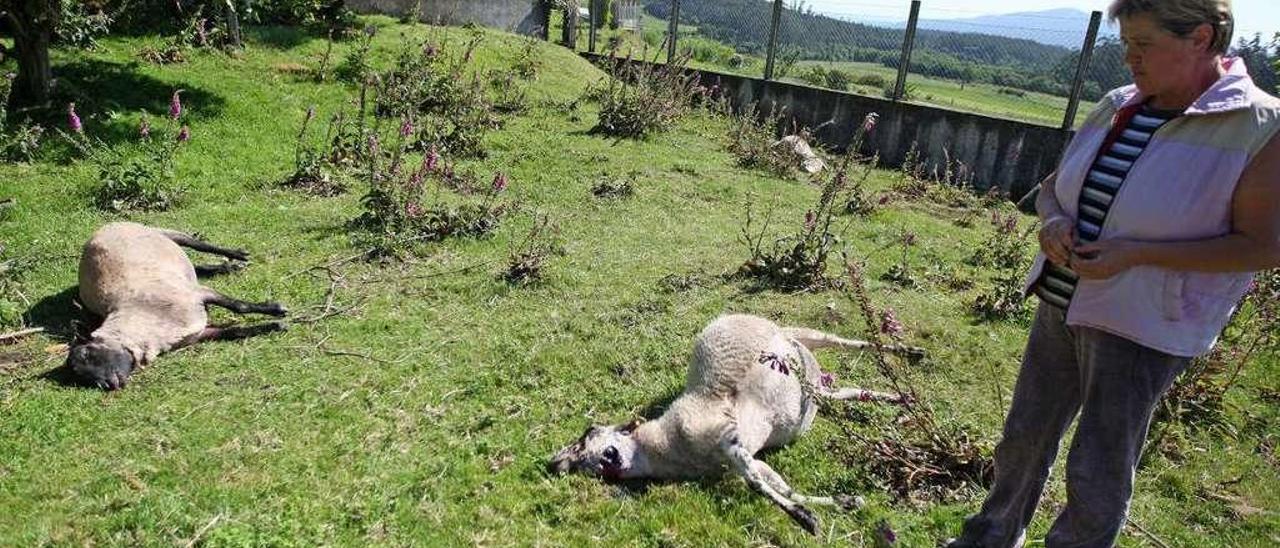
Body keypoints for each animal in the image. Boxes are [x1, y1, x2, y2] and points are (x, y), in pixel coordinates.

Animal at [67, 222, 288, 389]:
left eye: (87, 354)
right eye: (79, 375)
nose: (106, 385)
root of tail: (102, 229)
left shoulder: (198, 294)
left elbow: (239, 306)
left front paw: (277, 310)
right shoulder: (200, 333)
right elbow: (235, 332)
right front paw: (274, 326)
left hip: (163, 232)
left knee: (198, 243)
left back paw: (238, 255)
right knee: (197, 266)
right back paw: (228, 267)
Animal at [550, 314, 921, 532]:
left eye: (587, 436)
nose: (556, 464)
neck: (668, 447)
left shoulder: (729, 439)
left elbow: (757, 484)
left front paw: (805, 519)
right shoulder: (749, 456)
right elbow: (780, 484)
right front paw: (841, 503)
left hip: (799, 335)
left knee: (847, 341)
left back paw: (912, 353)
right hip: (819, 390)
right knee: (848, 391)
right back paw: (898, 397)